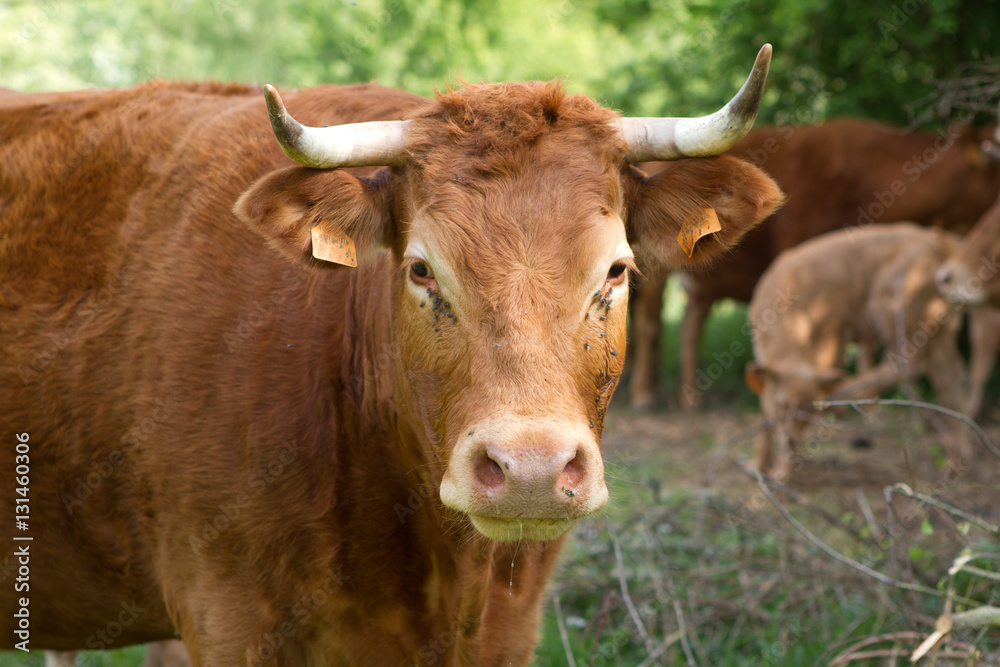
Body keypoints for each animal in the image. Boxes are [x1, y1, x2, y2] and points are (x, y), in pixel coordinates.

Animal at [746, 224, 972, 479]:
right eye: (781, 406)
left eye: (808, 414)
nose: (791, 441)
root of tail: (940, 241)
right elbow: (764, 406)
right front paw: (758, 464)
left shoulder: (834, 333)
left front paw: (781, 473)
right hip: (940, 331)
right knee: (950, 379)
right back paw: (956, 464)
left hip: (894, 310)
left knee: (905, 365)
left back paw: (844, 394)